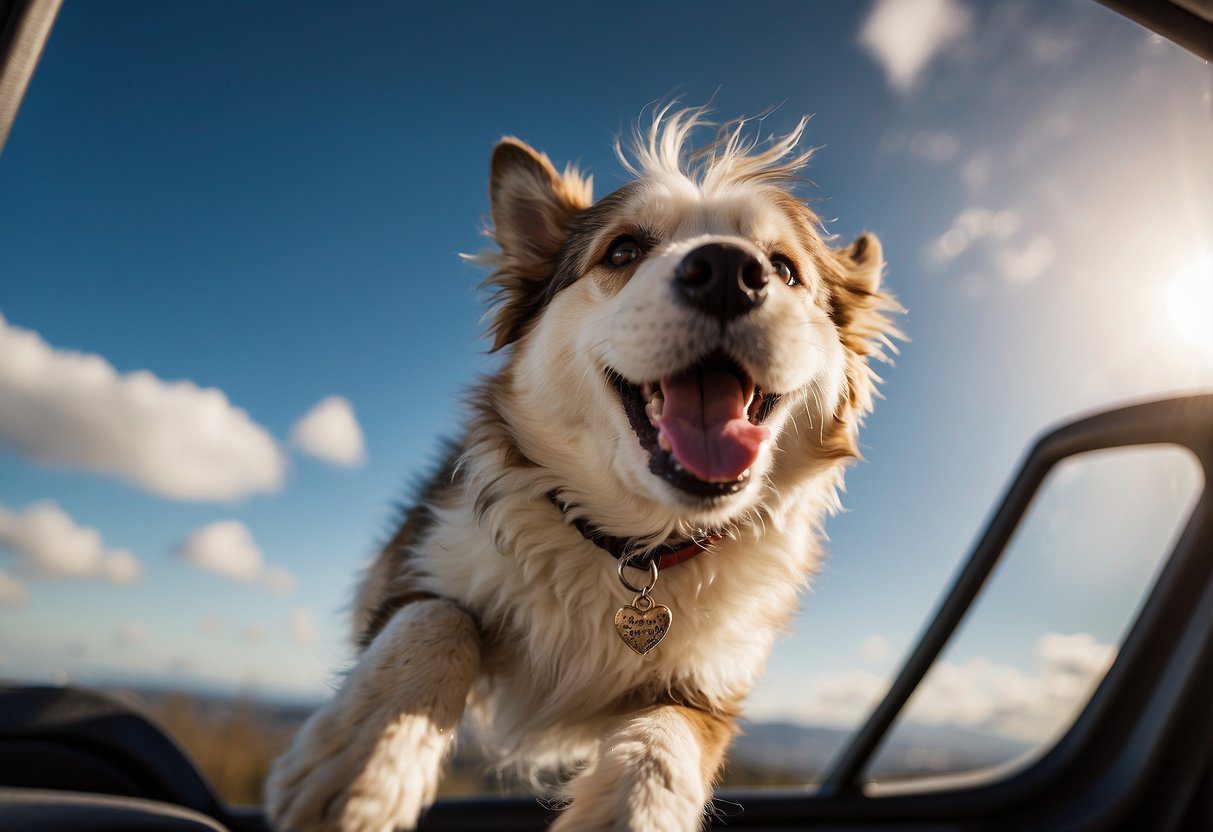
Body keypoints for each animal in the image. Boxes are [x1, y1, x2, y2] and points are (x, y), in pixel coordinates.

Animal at [270, 110, 907, 832]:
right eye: (623, 252)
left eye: (783, 267)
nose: (727, 271)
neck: (634, 545)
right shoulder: (422, 568)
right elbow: (436, 620)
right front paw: (361, 759)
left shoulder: (710, 686)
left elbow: (664, 740)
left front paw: (636, 807)